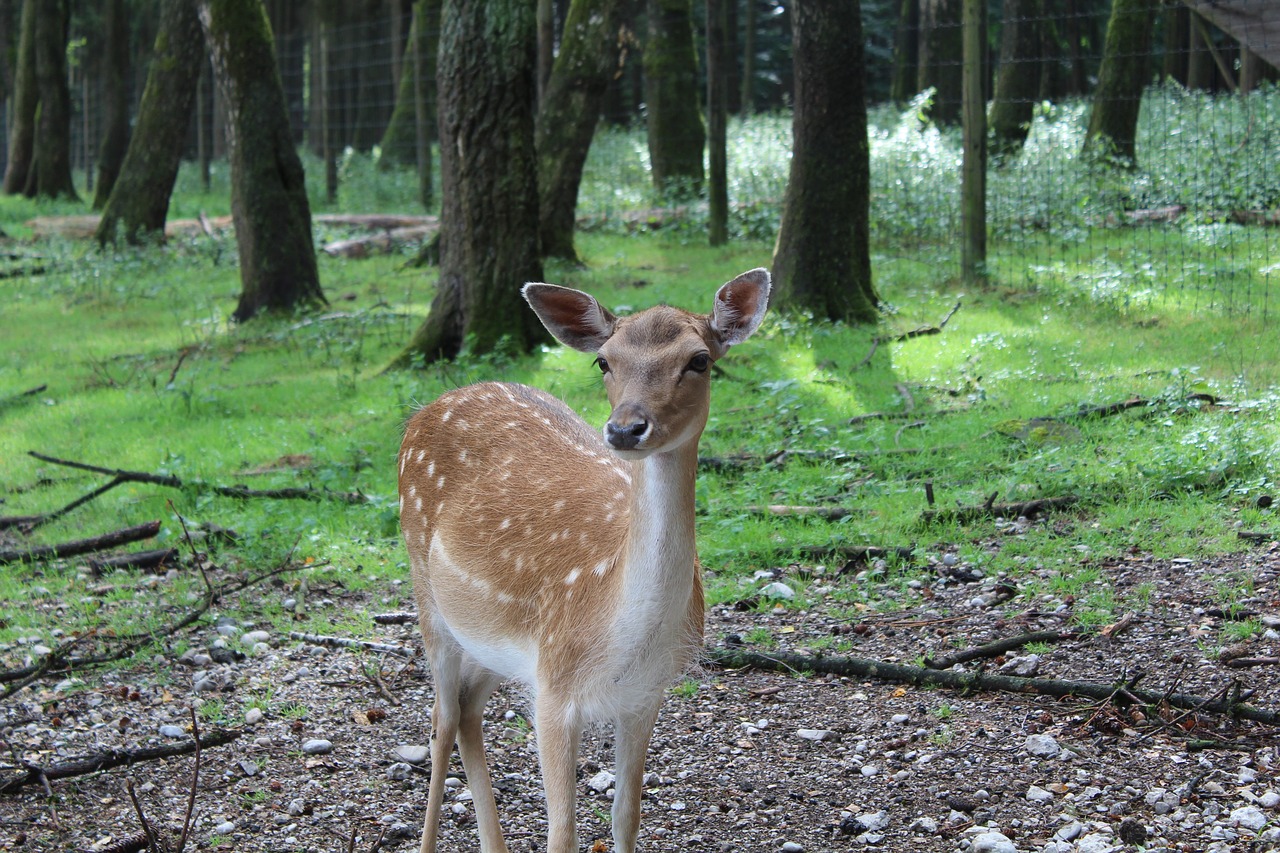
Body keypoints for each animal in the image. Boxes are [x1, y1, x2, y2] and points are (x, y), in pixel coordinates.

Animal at [394, 268, 768, 850]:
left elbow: (626, 814)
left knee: (469, 712)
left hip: (490, 643)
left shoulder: (645, 695)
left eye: (700, 360)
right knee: (442, 718)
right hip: (427, 595)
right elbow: (562, 832)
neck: (620, 637)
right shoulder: (553, 688)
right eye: (604, 361)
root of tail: (426, 408)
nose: (624, 428)